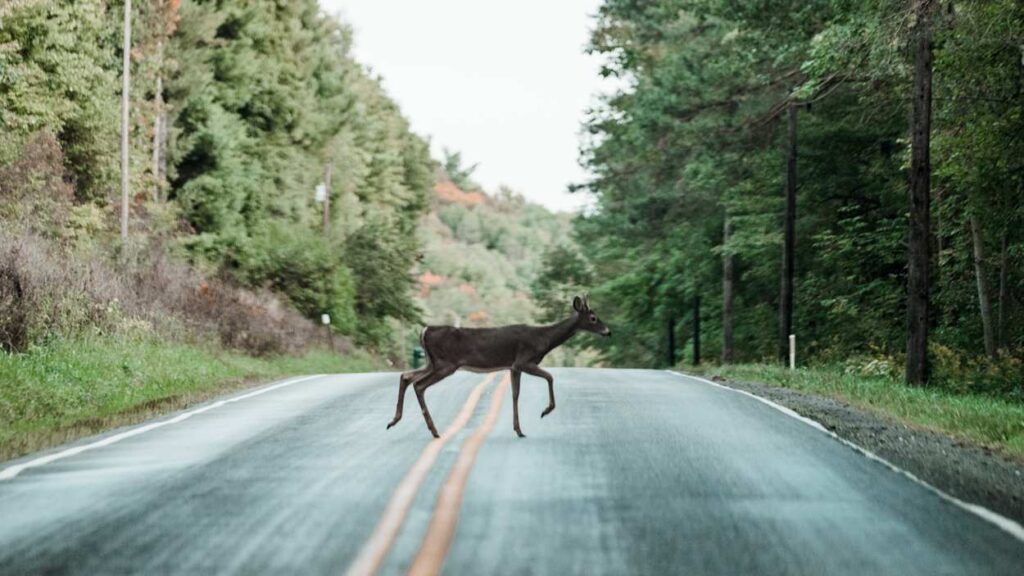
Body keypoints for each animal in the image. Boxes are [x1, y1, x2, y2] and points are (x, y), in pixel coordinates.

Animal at [387, 295, 611, 438]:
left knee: (406, 376)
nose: (608, 331)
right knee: (419, 385)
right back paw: (433, 431)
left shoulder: (513, 367)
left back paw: (394, 421)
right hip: (445, 364)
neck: (544, 339)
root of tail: (425, 330)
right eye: (593, 318)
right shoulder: (524, 360)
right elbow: (550, 377)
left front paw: (518, 430)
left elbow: (515, 394)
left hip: (431, 362)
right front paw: (545, 411)